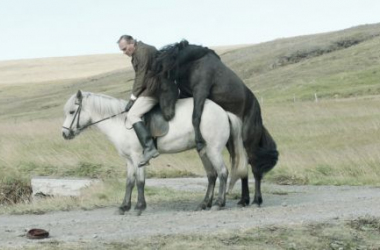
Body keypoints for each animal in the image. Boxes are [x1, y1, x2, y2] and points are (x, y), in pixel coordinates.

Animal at [60, 91, 248, 214]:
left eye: (72, 112)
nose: (64, 134)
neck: (122, 123)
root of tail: (223, 111)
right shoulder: (129, 160)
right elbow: (129, 182)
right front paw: (124, 207)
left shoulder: (138, 158)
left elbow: (140, 182)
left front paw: (139, 207)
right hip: (203, 151)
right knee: (211, 176)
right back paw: (204, 204)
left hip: (213, 150)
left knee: (222, 173)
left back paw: (218, 203)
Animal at [149, 40, 280, 206]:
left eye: (164, 87)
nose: (167, 115)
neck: (195, 62)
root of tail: (257, 111)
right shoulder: (188, 93)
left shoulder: (201, 91)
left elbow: (195, 116)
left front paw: (199, 141)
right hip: (233, 143)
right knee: (242, 165)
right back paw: (244, 199)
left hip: (248, 142)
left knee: (255, 168)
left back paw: (256, 200)